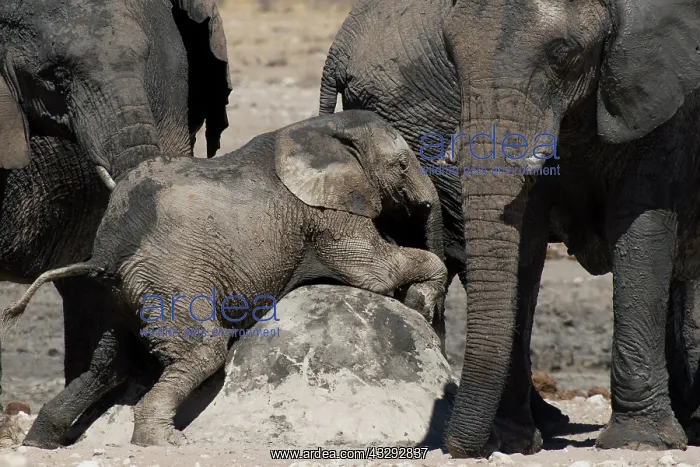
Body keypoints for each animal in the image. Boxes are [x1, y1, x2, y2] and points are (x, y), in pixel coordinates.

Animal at [0, 110, 449, 447]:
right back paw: (161, 442)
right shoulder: (324, 212)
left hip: (124, 293)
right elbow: (375, 271)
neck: (320, 127)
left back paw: (40, 442)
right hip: (172, 280)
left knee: (109, 362)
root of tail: (107, 251)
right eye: (402, 165)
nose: (432, 319)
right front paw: (418, 301)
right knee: (203, 351)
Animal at [438, 0, 700, 457]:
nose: (461, 447)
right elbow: (526, 236)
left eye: (563, 54)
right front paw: (513, 441)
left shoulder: (665, 101)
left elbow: (640, 229)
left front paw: (639, 442)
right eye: (450, 53)